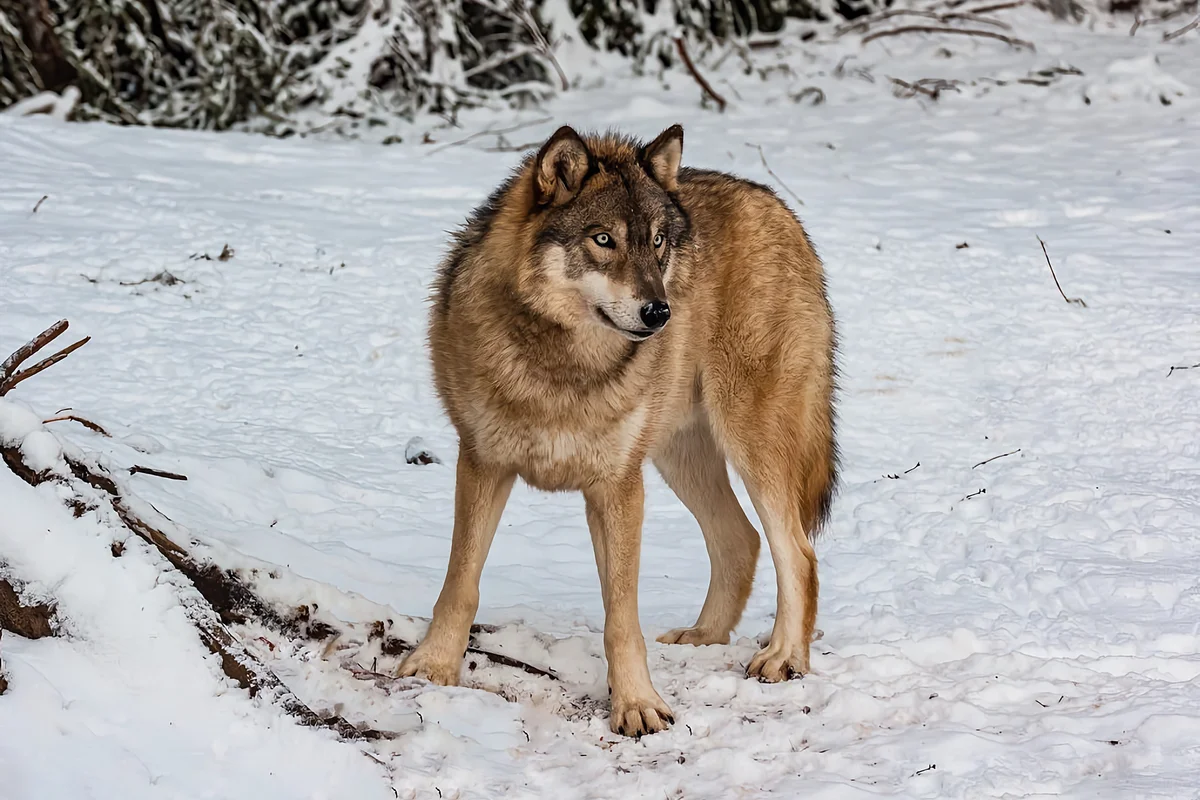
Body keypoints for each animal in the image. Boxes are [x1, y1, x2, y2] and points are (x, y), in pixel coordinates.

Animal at [398, 123, 840, 738]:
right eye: (604, 239)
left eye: (657, 242)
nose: (659, 313)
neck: (565, 367)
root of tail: (777, 205)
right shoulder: (482, 462)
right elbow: (460, 583)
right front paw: (434, 666)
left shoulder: (618, 486)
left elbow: (621, 618)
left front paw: (637, 705)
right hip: (681, 457)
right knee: (741, 538)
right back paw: (702, 638)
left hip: (749, 444)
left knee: (797, 553)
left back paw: (783, 658)